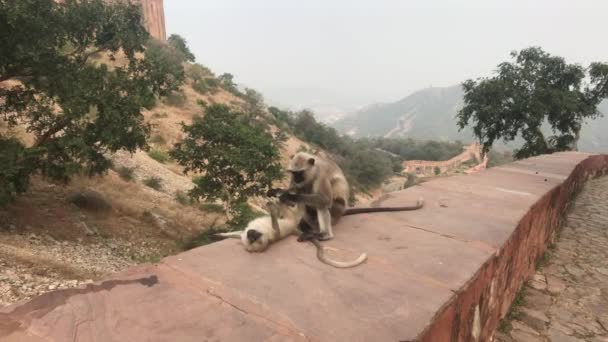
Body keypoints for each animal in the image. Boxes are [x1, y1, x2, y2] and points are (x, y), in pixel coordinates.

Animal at [216, 198, 366, 268]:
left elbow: (237, 233)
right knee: (295, 208)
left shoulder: (246, 234)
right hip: (294, 216)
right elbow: (276, 230)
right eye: (254, 240)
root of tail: (294, 227)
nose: (253, 234)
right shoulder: (272, 236)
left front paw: (219, 235)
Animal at [278, 152, 426, 240]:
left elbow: (324, 200)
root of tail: (343, 211)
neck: (313, 170)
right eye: (293, 173)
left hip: (337, 210)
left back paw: (324, 234)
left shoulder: (321, 175)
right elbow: (294, 189)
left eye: (300, 173)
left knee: (322, 205)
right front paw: (282, 192)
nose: (297, 179)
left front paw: (290, 196)